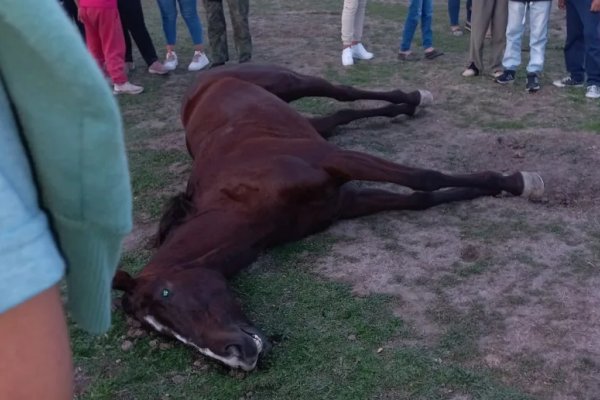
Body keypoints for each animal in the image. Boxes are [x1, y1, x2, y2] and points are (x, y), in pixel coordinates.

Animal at [112, 63, 544, 372]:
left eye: (167, 294)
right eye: (162, 333)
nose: (236, 356)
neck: (242, 199)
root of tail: (201, 81)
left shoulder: (337, 161)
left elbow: (423, 177)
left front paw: (516, 182)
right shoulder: (344, 203)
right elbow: (420, 199)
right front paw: (487, 190)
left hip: (289, 83)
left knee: (340, 92)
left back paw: (413, 96)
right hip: (310, 123)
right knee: (339, 115)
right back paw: (405, 107)